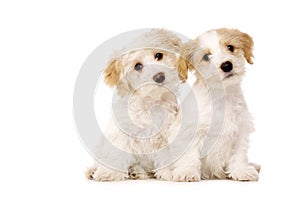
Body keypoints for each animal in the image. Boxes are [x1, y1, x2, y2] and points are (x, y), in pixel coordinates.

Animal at [179, 28, 262, 181]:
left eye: (230, 47)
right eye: (206, 57)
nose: (227, 65)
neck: (222, 97)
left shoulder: (241, 129)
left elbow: (239, 154)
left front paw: (241, 171)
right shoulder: (193, 130)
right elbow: (190, 154)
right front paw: (187, 172)